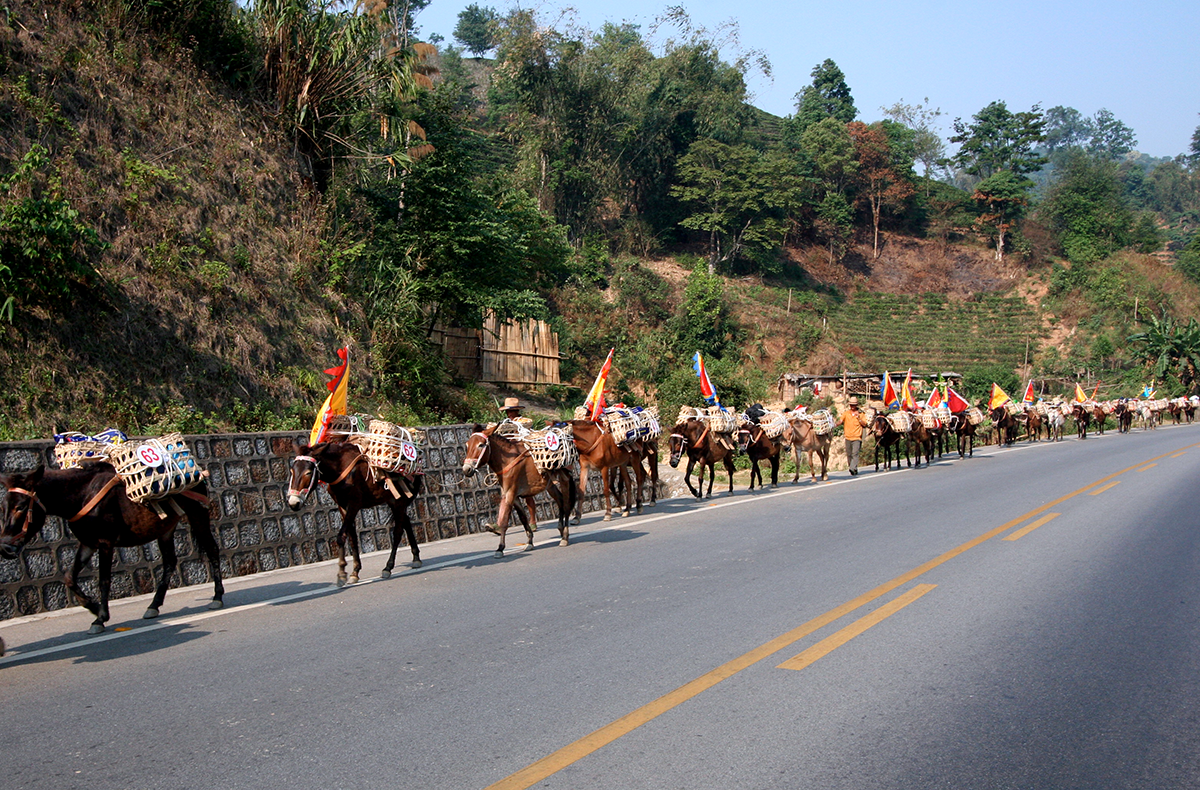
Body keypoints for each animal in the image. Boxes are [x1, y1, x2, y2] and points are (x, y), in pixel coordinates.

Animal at [0, 463, 223, 629]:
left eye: (20, 506)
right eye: (4, 507)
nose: (5, 548)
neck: (83, 494)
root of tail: (197, 472)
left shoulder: (105, 543)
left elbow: (104, 580)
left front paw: (100, 617)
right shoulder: (87, 543)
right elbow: (69, 578)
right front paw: (93, 607)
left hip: (197, 514)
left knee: (212, 549)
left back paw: (217, 596)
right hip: (165, 527)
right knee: (170, 561)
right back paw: (154, 605)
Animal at [288, 437, 424, 583]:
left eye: (308, 472)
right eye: (292, 471)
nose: (293, 503)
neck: (341, 469)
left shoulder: (354, 505)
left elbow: (341, 536)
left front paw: (342, 573)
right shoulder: (342, 506)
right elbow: (352, 538)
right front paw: (354, 571)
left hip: (399, 501)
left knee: (398, 532)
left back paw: (388, 567)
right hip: (393, 500)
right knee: (406, 522)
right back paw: (416, 558)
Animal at [458, 422, 576, 557]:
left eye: (481, 445)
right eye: (467, 445)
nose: (466, 469)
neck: (508, 461)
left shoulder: (510, 494)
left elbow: (504, 521)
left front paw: (500, 548)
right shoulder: (513, 496)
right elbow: (523, 518)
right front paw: (529, 542)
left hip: (564, 479)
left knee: (566, 504)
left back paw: (565, 537)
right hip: (550, 485)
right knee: (560, 501)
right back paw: (561, 530)